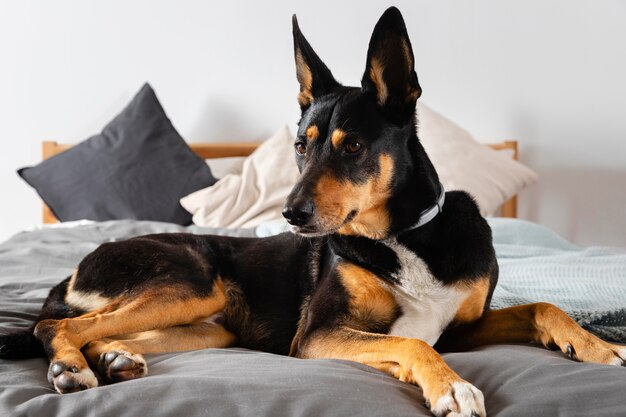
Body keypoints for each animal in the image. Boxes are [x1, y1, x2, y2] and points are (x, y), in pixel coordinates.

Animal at [1, 7, 624, 416]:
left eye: (352, 147)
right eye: (300, 146)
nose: (291, 215)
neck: (402, 237)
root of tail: (74, 269)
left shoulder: (465, 328)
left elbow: (543, 306)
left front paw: (599, 347)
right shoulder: (320, 335)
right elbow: (412, 343)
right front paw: (451, 387)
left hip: (206, 326)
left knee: (96, 333)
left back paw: (116, 361)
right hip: (189, 281)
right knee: (57, 324)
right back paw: (71, 369)